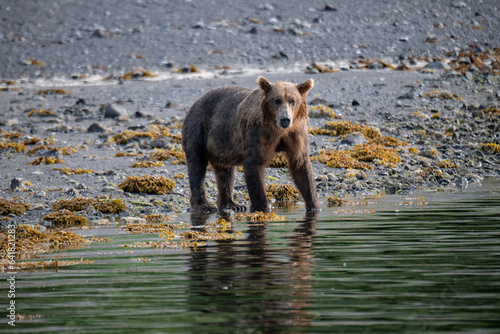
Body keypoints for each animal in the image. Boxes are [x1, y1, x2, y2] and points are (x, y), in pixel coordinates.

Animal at [182, 76, 318, 213]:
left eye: (292, 100)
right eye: (277, 100)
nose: (285, 119)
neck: (278, 130)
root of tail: (196, 102)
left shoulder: (295, 135)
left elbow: (300, 165)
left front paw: (314, 206)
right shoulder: (257, 133)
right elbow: (254, 165)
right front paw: (262, 207)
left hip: (222, 146)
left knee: (225, 173)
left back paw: (232, 204)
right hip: (198, 129)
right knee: (197, 166)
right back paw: (204, 206)